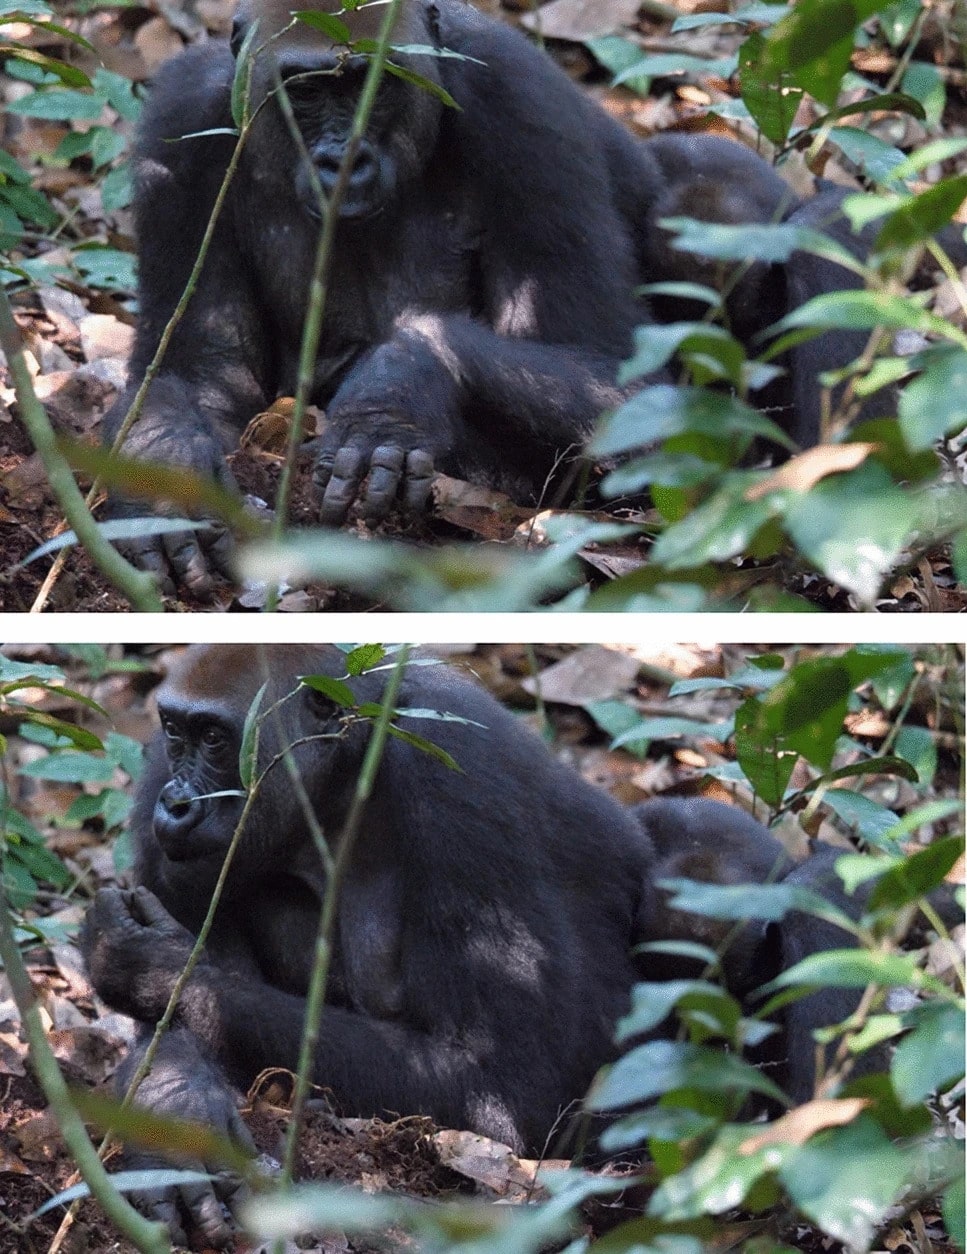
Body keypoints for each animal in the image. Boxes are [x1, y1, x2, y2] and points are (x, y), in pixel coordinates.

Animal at [83, 647, 867, 1243]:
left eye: (217, 739)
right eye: (176, 731)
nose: (176, 803)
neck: (346, 773)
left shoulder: (460, 777)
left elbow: (503, 1086)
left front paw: (159, 971)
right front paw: (171, 1110)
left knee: (815, 885)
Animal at [100, 0, 877, 594]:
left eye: (377, 83)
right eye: (310, 89)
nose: (343, 156)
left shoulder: (519, 98)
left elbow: (618, 374)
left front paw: (402, 383)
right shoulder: (181, 129)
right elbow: (198, 373)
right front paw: (162, 490)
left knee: (774, 217)